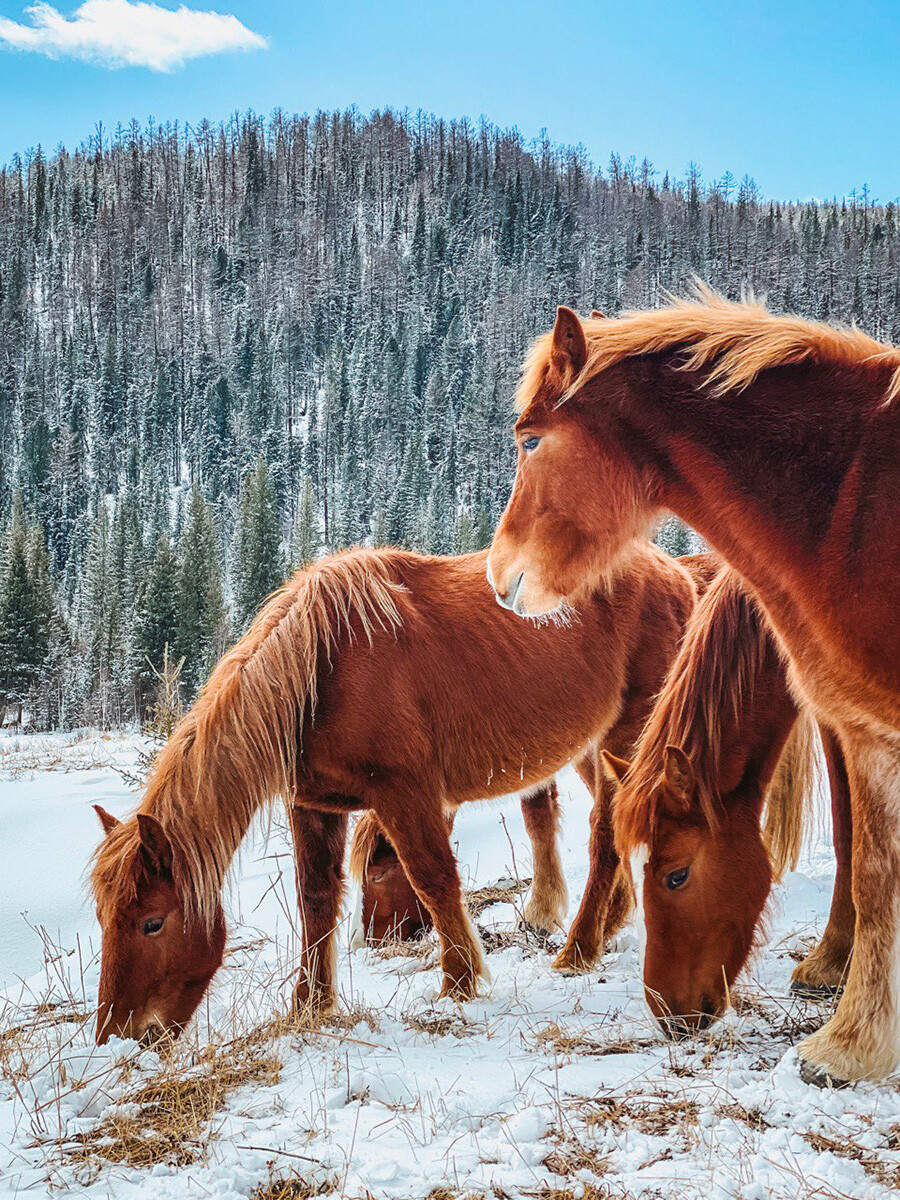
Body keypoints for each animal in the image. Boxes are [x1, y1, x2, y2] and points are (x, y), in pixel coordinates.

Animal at [90, 544, 696, 1041]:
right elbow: (315, 900)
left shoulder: (405, 792)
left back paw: (578, 949)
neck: (321, 671)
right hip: (592, 746)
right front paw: (311, 1005)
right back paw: (607, 925)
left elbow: (433, 878)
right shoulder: (312, 806)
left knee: (606, 832)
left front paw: (460, 984)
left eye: (152, 922)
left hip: (628, 734)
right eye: (104, 920)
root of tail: (674, 572)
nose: (120, 1035)